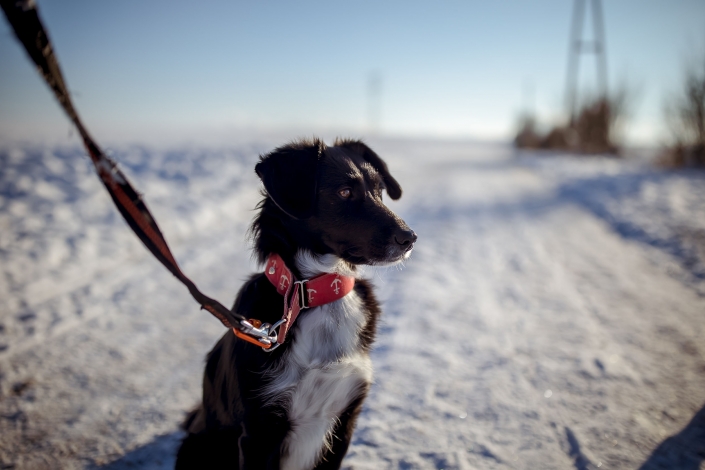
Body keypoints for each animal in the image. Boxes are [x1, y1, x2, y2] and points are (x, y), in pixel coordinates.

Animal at [176, 138, 416, 468]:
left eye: (379, 190)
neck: (313, 293)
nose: (410, 238)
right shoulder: (259, 432)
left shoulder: (344, 421)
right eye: (344, 192)